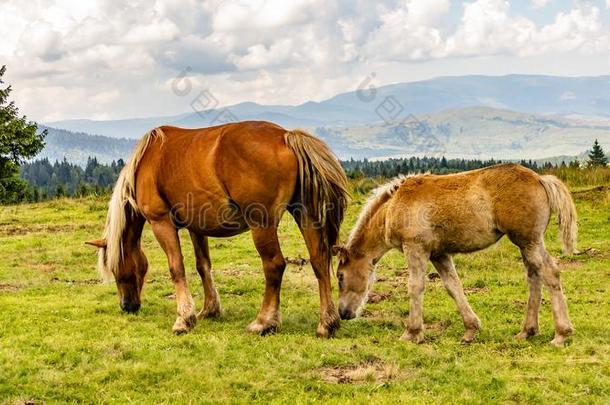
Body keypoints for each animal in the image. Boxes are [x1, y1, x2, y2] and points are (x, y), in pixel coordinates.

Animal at [88, 120, 350, 334]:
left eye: (116, 269)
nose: (127, 306)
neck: (147, 161)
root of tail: (285, 136)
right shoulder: (196, 227)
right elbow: (203, 266)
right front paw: (209, 309)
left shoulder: (161, 223)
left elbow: (176, 268)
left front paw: (184, 318)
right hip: (306, 215)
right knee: (319, 260)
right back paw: (327, 323)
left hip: (262, 225)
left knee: (274, 265)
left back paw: (264, 322)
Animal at [332, 164, 576, 348]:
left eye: (340, 276)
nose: (343, 313)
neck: (392, 207)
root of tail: (541, 179)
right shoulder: (439, 254)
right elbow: (453, 286)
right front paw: (470, 330)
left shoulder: (415, 248)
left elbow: (415, 287)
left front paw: (412, 333)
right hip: (527, 244)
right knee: (534, 276)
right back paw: (527, 331)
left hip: (528, 241)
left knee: (550, 273)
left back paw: (561, 334)